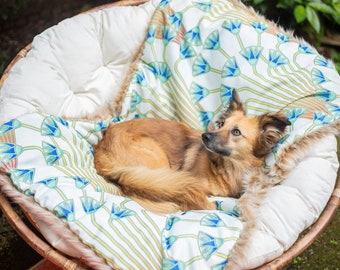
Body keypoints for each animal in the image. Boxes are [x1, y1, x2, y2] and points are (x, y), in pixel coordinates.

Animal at [93, 90, 290, 213]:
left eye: (236, 132)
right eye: (221, 124)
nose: (205, 136)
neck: (228, 168)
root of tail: (101, 148)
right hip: (157, 162)